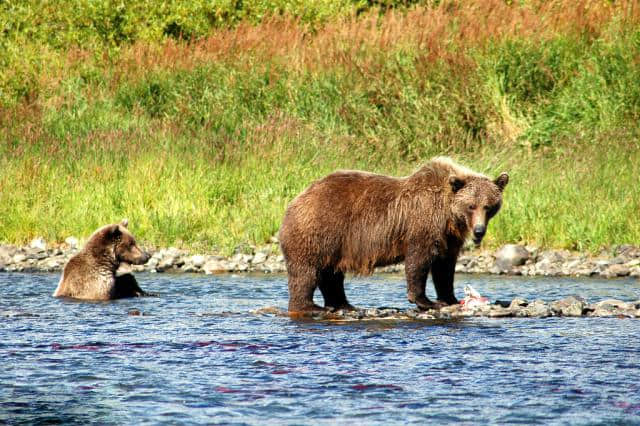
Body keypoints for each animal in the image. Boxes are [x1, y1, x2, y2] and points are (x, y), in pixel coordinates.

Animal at [280, 156, 510, 312]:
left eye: (489, 206)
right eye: (471, 206)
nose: (479, 231)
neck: (448, 215)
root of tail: (295, 200)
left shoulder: (448, 237)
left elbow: (444, 267)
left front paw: (449, 298)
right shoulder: (422, 224)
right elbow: (419, 260)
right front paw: (425, 301)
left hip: (336, 243)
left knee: (331, 274)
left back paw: (344, 304)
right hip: (319, 230)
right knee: (307, 271)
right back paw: (310, 306)